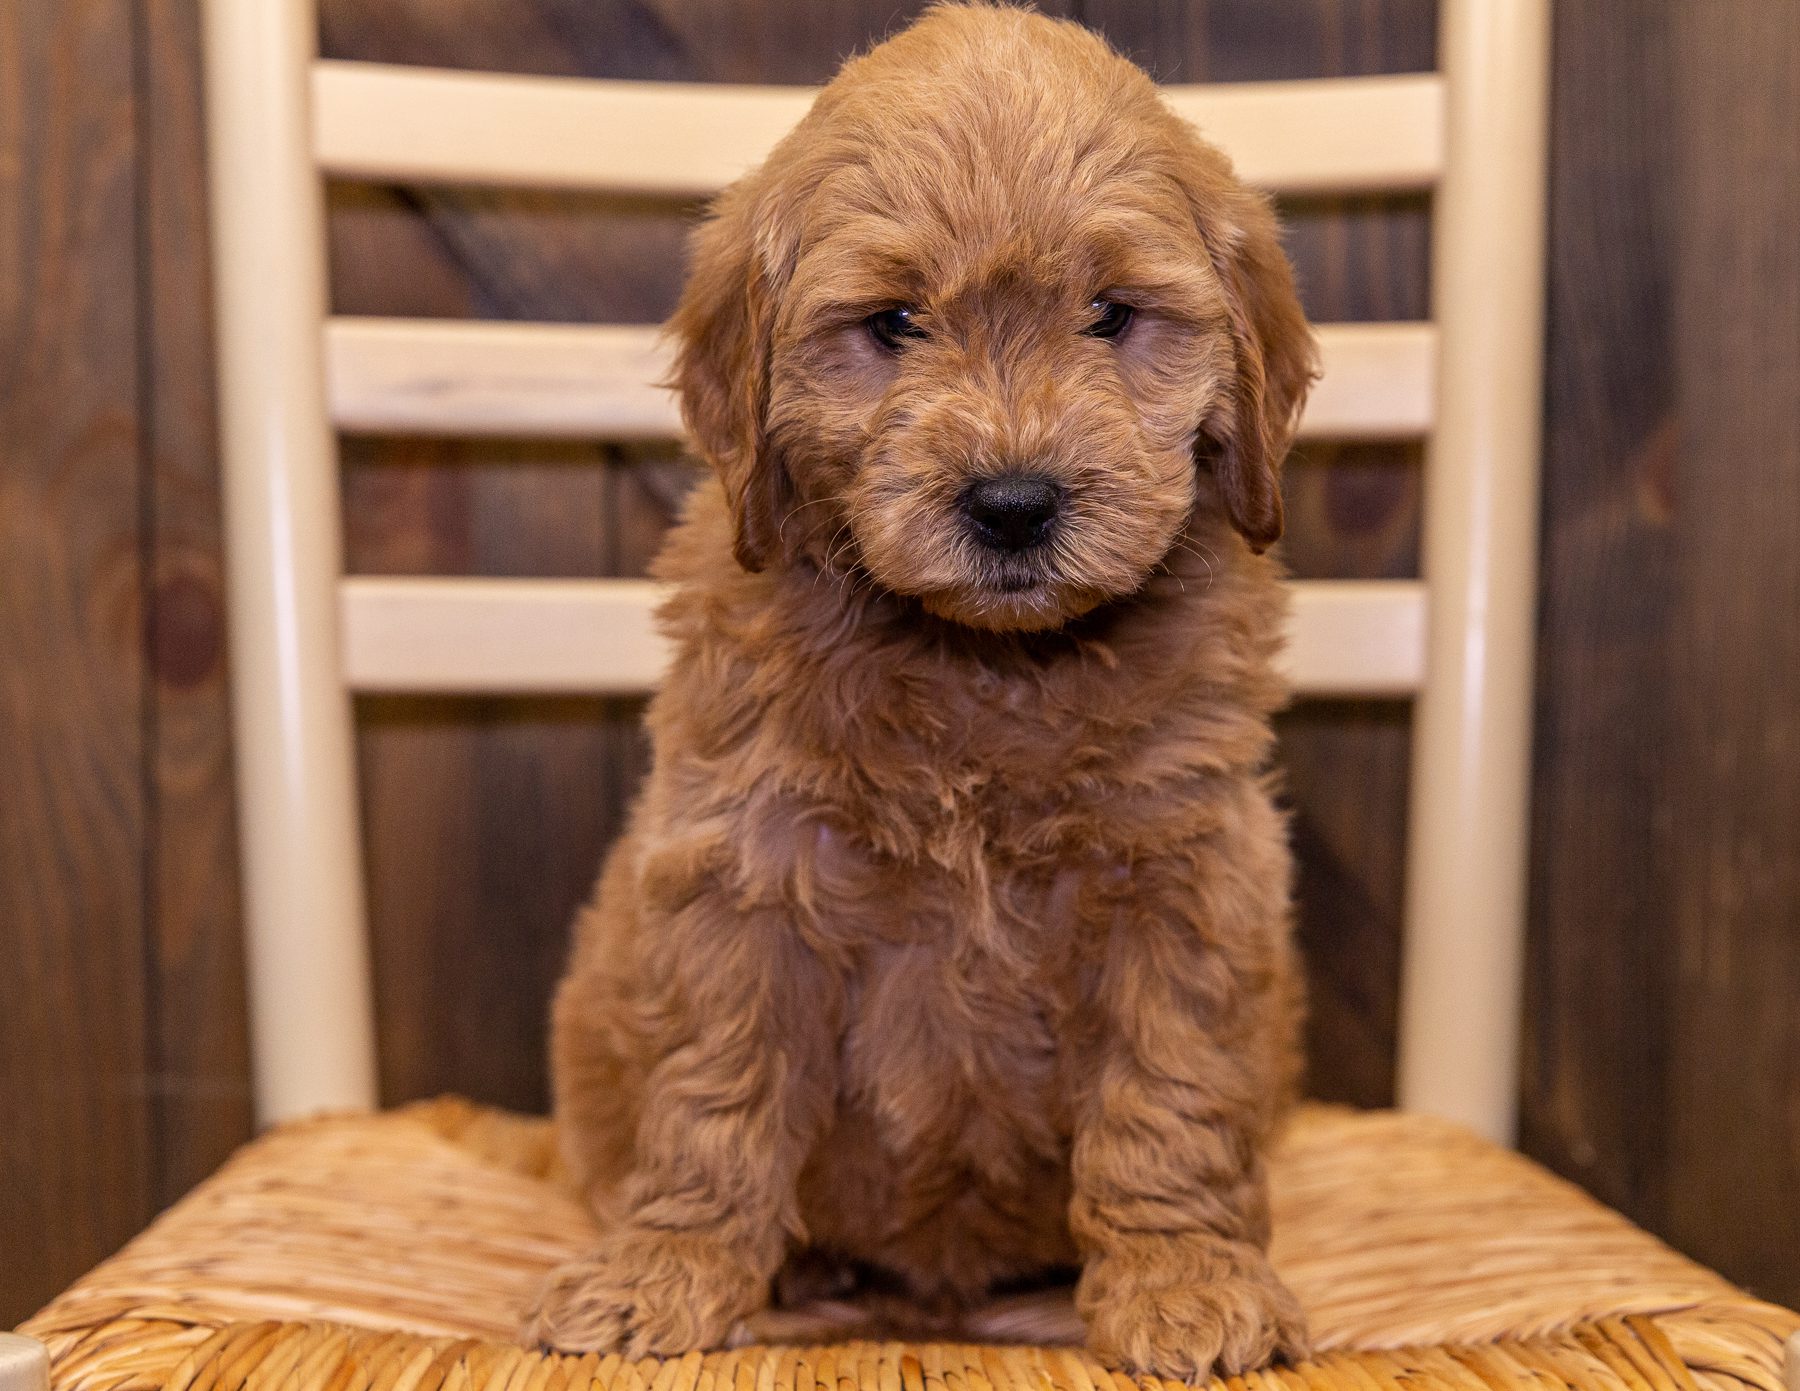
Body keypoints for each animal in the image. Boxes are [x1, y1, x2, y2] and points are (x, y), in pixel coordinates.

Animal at [525, 2, 1317, 1374]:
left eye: (1111, 315)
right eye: (893, 324)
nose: (1013, 502)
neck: (983, 672)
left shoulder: (1185, 871)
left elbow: (1169, 1088)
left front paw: (1183, 1280)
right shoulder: (745, 868)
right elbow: (714, 1092)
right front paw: (662, 1272)